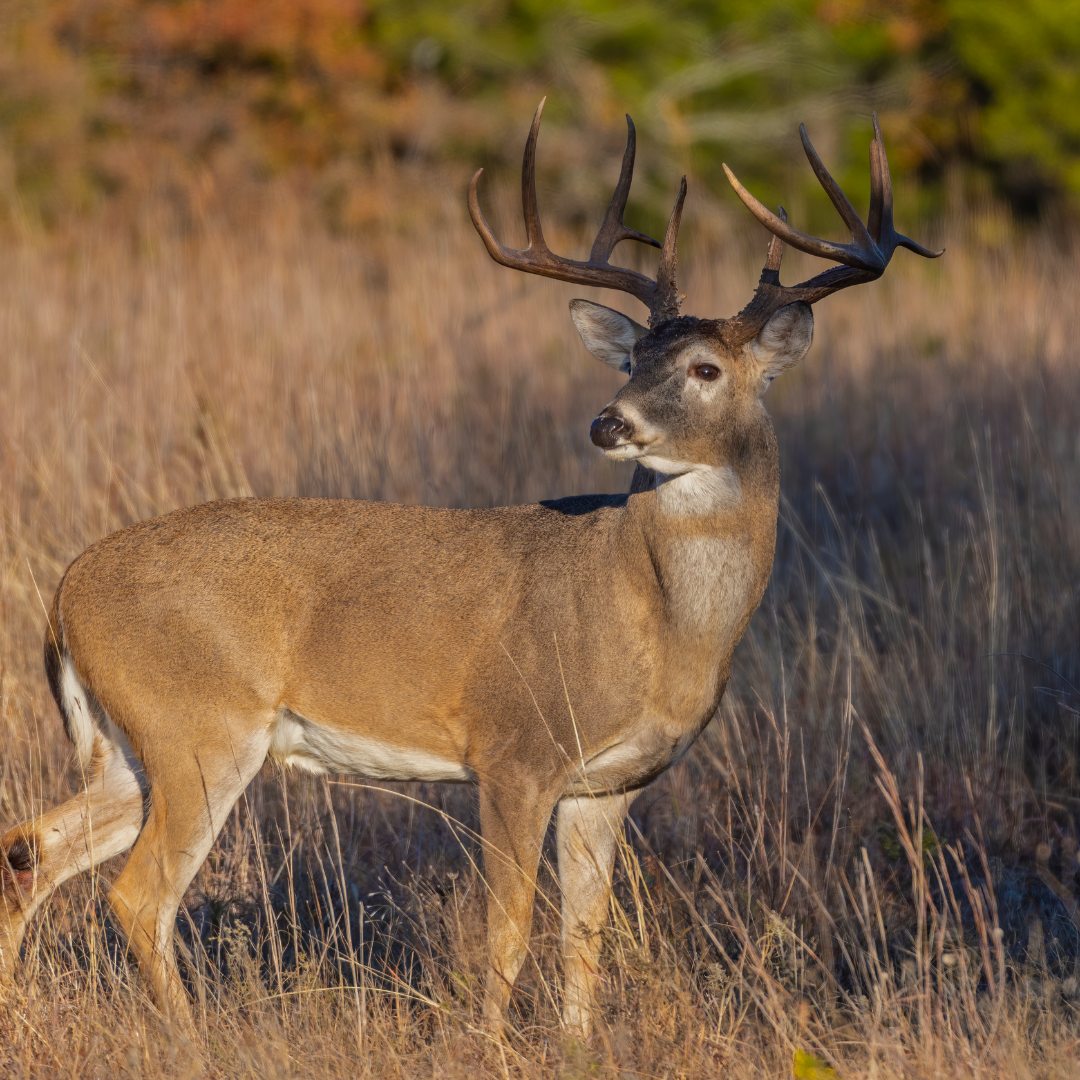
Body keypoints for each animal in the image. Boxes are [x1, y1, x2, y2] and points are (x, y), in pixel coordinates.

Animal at [0, 99, 939, 1039]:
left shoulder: (607, 786)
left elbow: (584, 936)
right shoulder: (515, 748)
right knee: (137, 894)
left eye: (705, 368)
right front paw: (493, 1047)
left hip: (130, 746)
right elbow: (509, 932)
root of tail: (65, 595)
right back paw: (197, 1043)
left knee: (31, 847)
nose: (608, 422)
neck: (653, 616)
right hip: (200, 726)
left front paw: (577, 1048)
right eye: (632, 361)